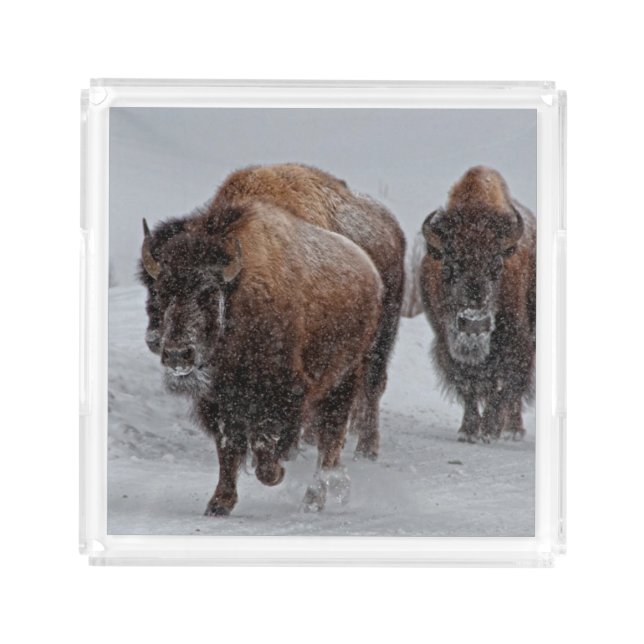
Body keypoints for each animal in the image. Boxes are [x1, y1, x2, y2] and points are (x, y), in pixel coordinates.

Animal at [419, 166, 536, 442]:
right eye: (448, 268)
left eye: (497, 266)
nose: (474, 324)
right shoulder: (446, 344)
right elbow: (467, 386)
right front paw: (468, 431)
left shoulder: (515, 342)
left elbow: (502, 386)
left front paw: (490, 430)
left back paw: (513, 430)